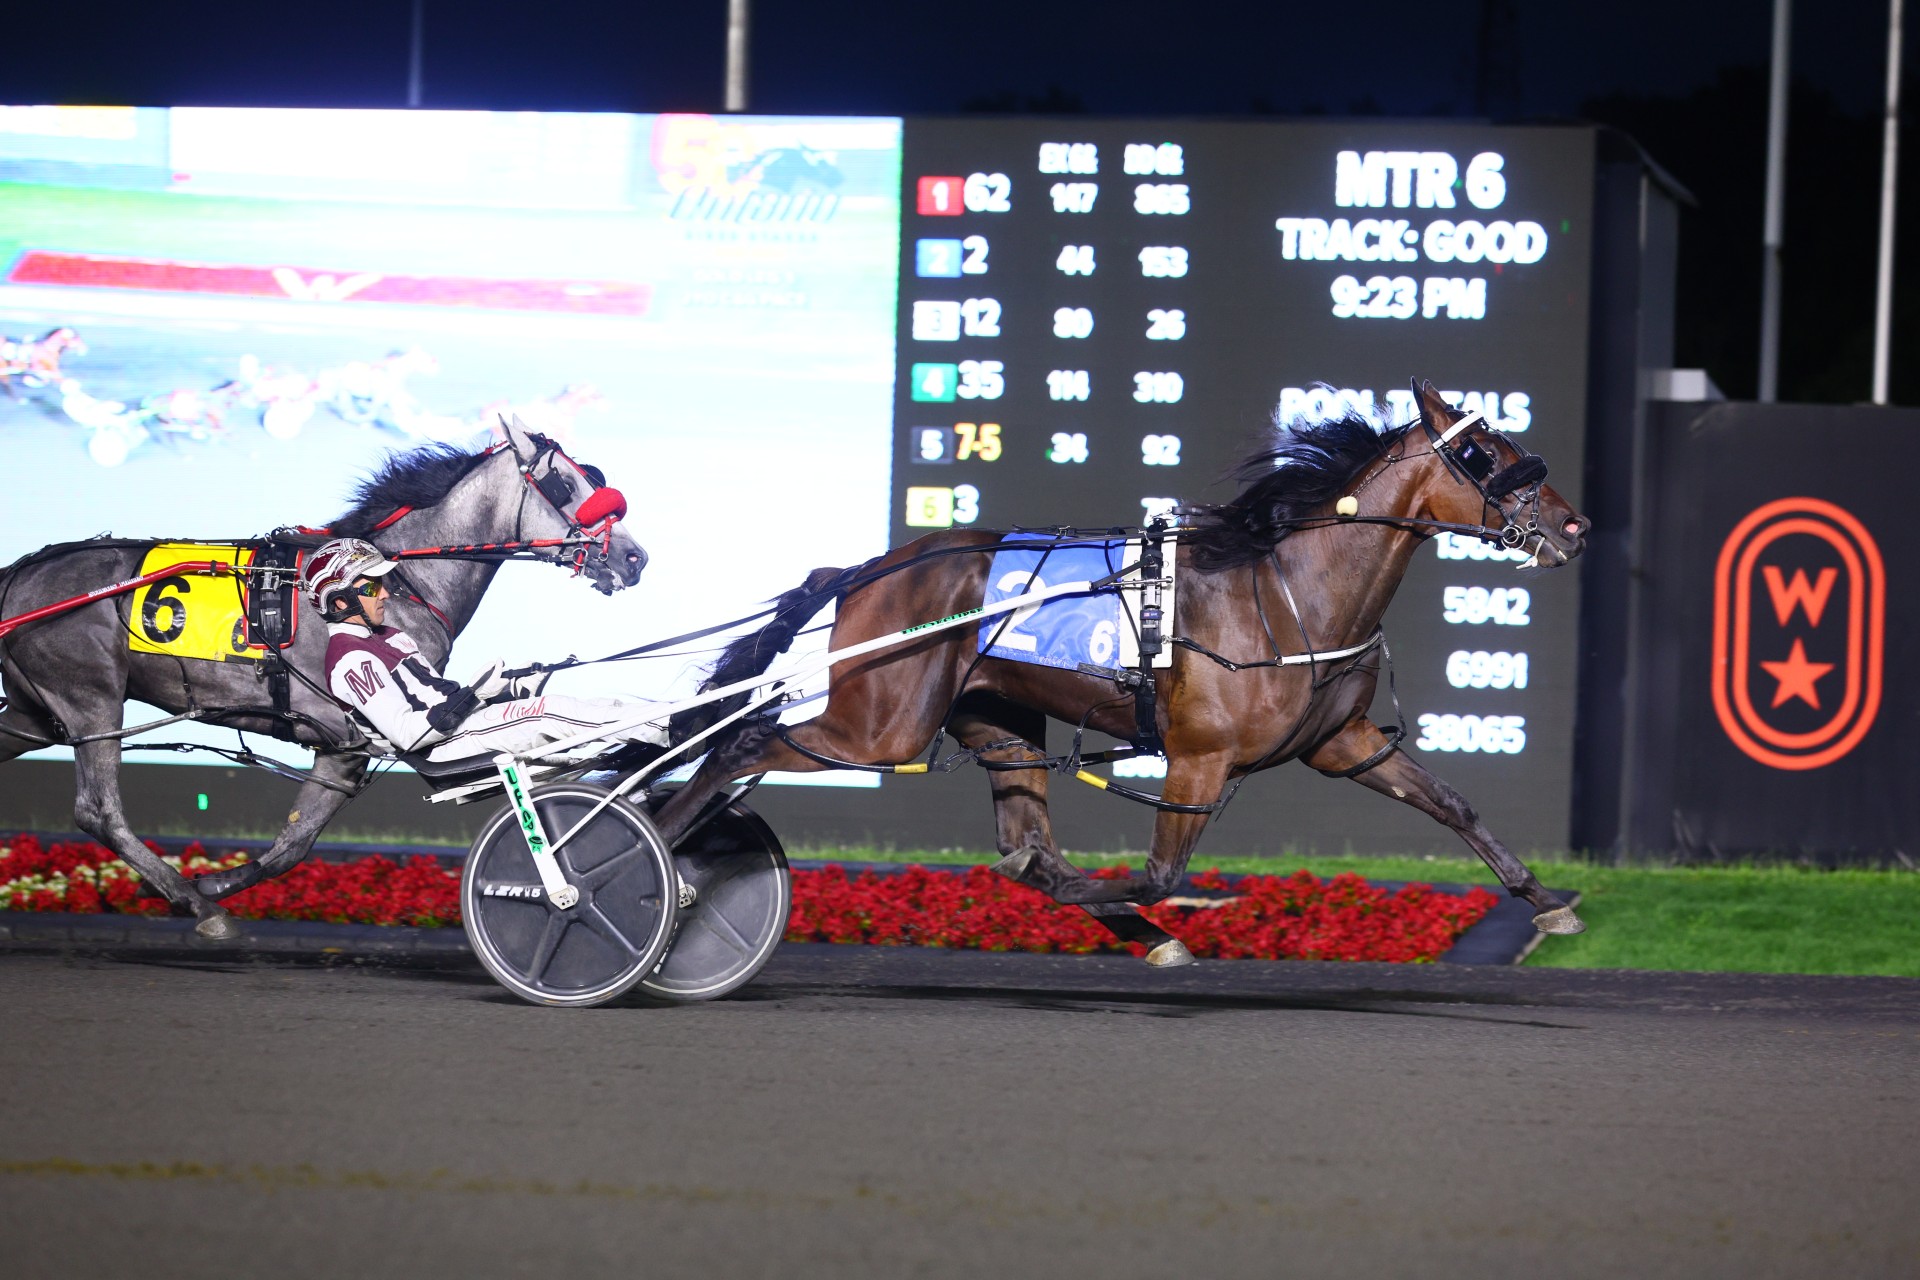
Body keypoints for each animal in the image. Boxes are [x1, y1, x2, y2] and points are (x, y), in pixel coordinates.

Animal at [0, 422, 648, 940]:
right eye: (567, 485)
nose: (634, 557)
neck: (401, 578)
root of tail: (20, 575)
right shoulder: (353, 735)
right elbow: (297, 843)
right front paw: (206, 894)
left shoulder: (343, 747)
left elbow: (289, 845)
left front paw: (214, 882)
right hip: (92, 701)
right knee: (98, 811)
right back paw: (192, 902)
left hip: (33, 713)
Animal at [660, 385, 1589, 967]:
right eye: (1483, 451)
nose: (1573, 525)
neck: (1288, 590)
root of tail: (871, 566)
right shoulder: (1199, 758)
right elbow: (1159, 875)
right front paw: (1145, 913)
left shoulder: (1344, 741)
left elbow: (1453, 803)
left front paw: (1547, 898)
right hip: (878, 723)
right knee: (742, 742)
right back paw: (654, 851)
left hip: (994, 720)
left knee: (1025, 844)